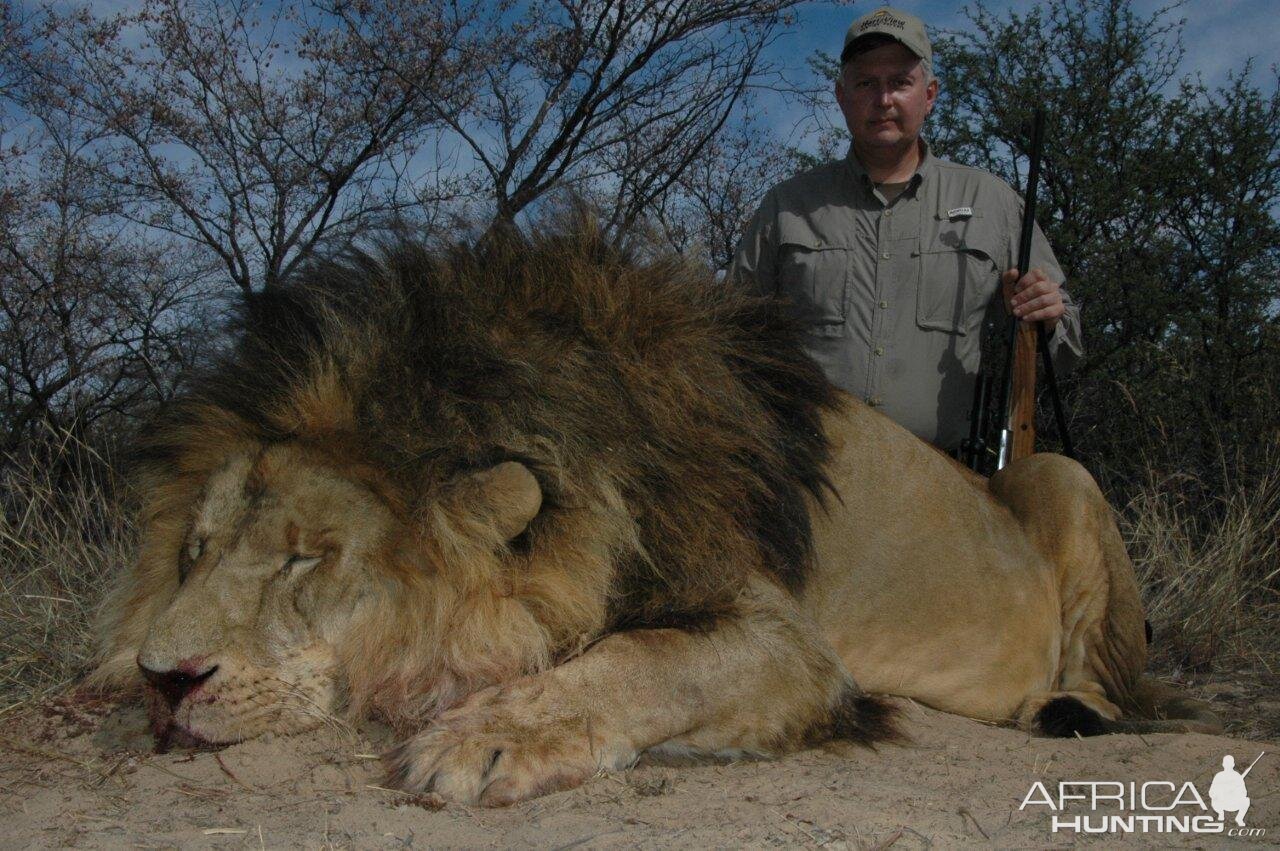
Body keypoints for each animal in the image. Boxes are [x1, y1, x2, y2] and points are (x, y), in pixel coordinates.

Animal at [92, 218, 1218, 803]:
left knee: (1105, 671)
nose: (162, 681)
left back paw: (1068, 707)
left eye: (305, 559)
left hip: (1066, 476)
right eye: (194, 552)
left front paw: (487, 732)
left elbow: (641, 658)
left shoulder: (789, 639)